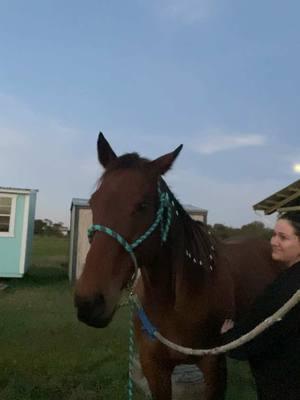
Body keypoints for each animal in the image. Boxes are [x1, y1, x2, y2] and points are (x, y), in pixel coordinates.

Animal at [75, 132, 282, 400]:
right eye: (94, 201)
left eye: (142, 205)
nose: (88, 302)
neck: (174, 302)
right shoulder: (154, 367)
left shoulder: (213, 366)